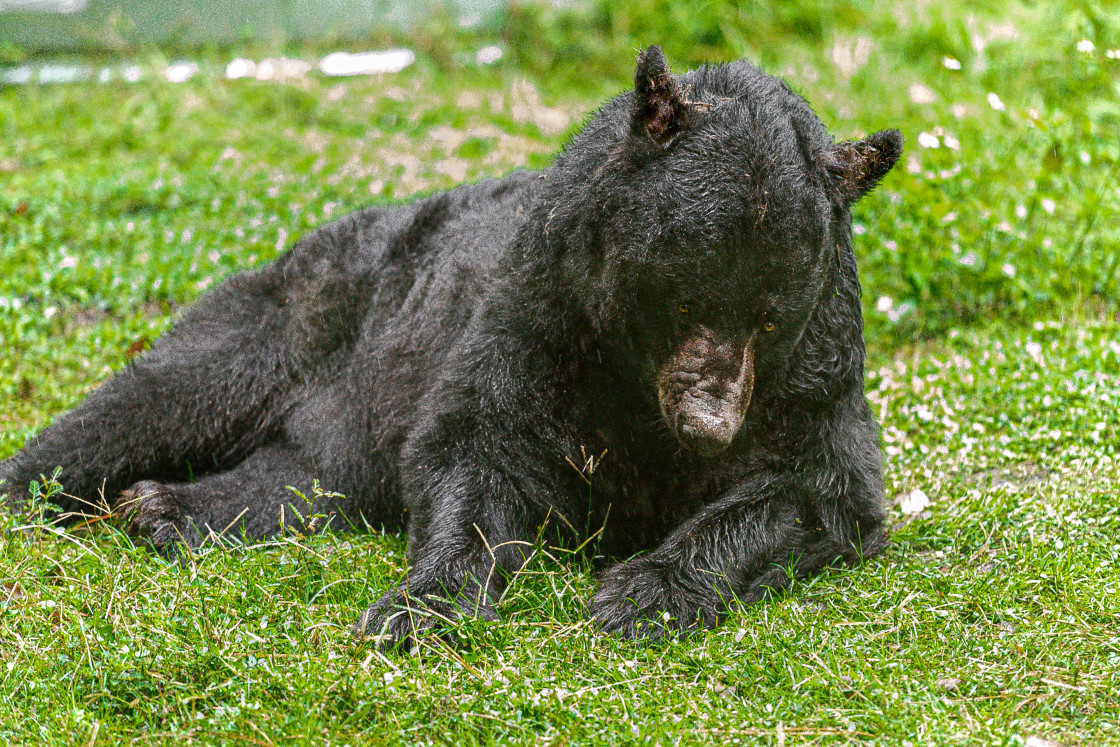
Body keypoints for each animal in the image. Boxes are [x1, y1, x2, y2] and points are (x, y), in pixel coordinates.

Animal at [2, 46, 900, 645]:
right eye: (685, 297)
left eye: (773, 319)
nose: (709, 426)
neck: (629, 371)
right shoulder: (543, 311)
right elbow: (475, 445)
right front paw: (420, 606)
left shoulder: (816, 371)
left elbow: (816, 487)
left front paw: (648, 589)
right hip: (302, 313)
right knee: (159, 395)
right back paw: (43, 486)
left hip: (346, 421)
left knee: (303, 478)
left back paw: (165, 509)